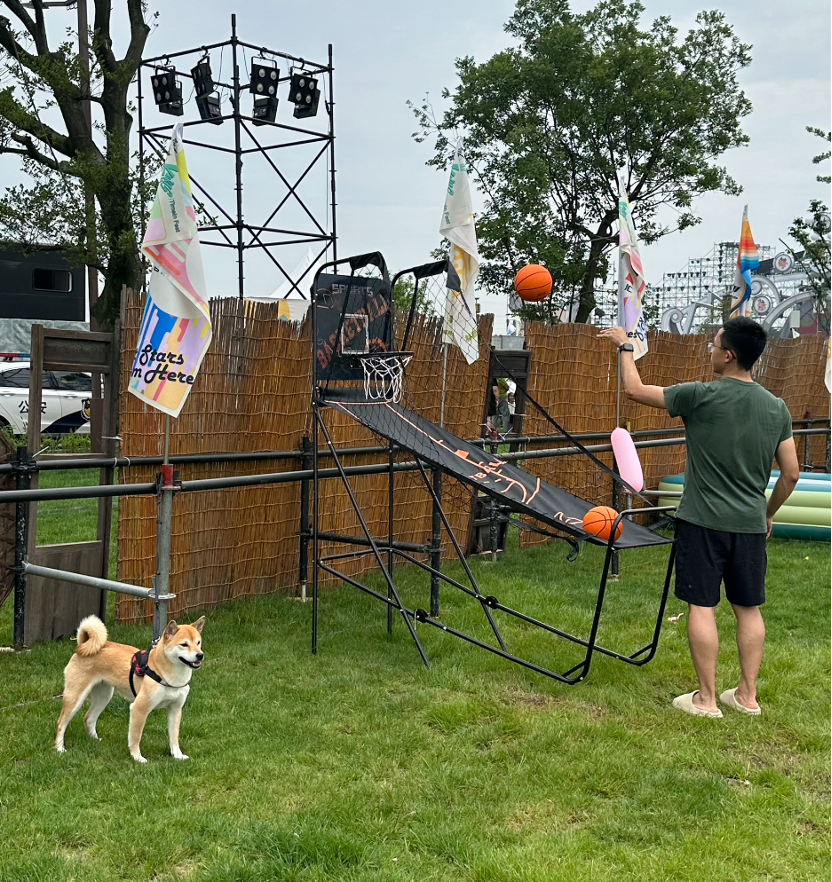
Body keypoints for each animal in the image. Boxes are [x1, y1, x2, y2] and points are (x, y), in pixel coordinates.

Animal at [55, 615, 205, 763]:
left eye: (198, 643)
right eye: (184, 644)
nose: (200, 655)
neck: (164, 673)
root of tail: (83, 644)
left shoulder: (175, 709)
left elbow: (174, 737)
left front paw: (178, 755)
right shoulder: (139, 709)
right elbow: (135, 737)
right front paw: (137, 757)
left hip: (104, 696)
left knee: (88, 718)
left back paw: (95, 740)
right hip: (75, 697)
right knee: (61, 723)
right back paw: (59, 748)